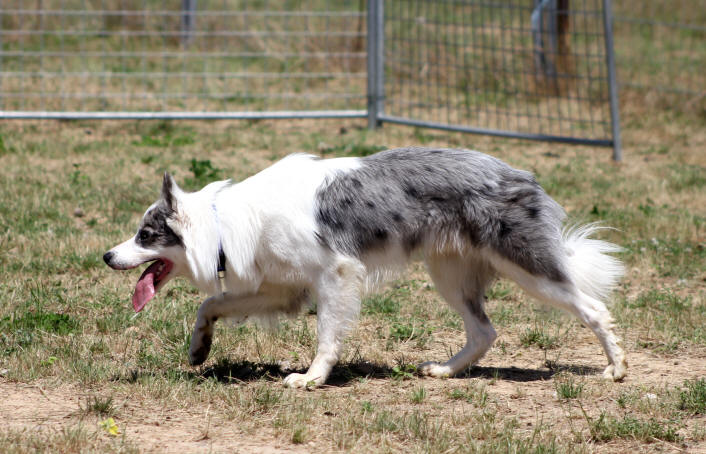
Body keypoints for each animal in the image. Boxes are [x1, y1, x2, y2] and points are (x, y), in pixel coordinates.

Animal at [102, 148, 624, 386]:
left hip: (528, 269)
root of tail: (521, 174)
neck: (225, 223)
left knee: (594, 309)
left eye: (145, 235)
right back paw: (446, 371)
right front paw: (199, 349)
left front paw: (312, 379)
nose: (106, 256)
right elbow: (210, 304)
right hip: (450, 275)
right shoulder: (281, 289)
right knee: (484, 330)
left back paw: (615, 369)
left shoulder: (336, 275)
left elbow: (326, 336)